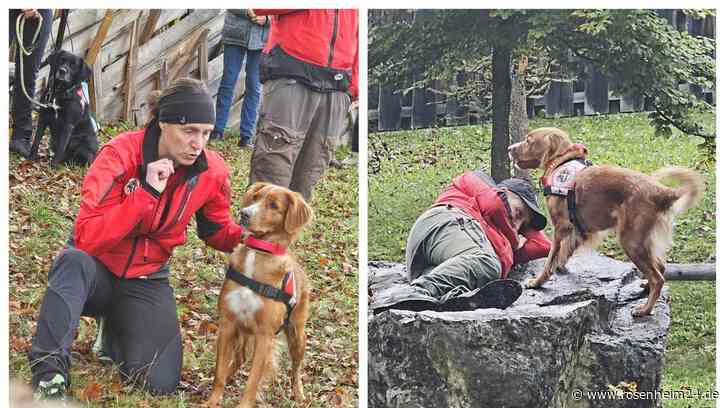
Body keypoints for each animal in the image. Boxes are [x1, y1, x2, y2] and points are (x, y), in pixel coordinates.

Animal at [506, 126, 704, 316]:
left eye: (528, 141)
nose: (509, 149)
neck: (561, 160)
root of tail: (661, 191)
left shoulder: (560, 228)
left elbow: (550, 259)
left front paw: (538, 281)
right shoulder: (577, 230)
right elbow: (565, 252)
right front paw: (560, 266)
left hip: (630, 241)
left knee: (658, 278)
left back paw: (645, 309)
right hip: (643, 241)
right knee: (661, 267)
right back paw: (645, 289)